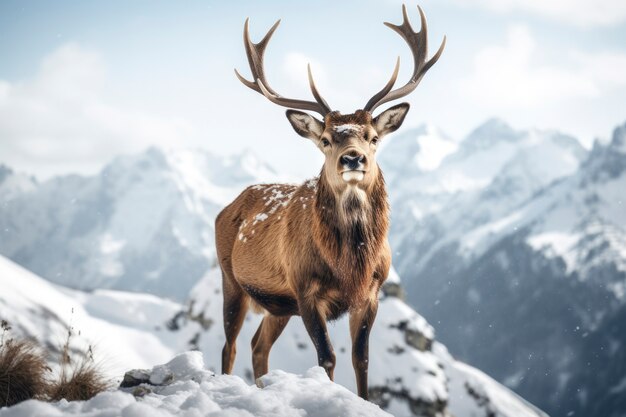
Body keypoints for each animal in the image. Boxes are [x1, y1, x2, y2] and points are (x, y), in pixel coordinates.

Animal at [214, 4, 444, 400]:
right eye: (325, 139)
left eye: (372, 137)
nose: (353, 158)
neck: (350, 265)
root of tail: (227, 207)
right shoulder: (305, 289)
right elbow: (327, 358)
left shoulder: (370, 293)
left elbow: (360, 360)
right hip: (231, 279)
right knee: (230, 346)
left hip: (278, 305)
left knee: (258, 346)